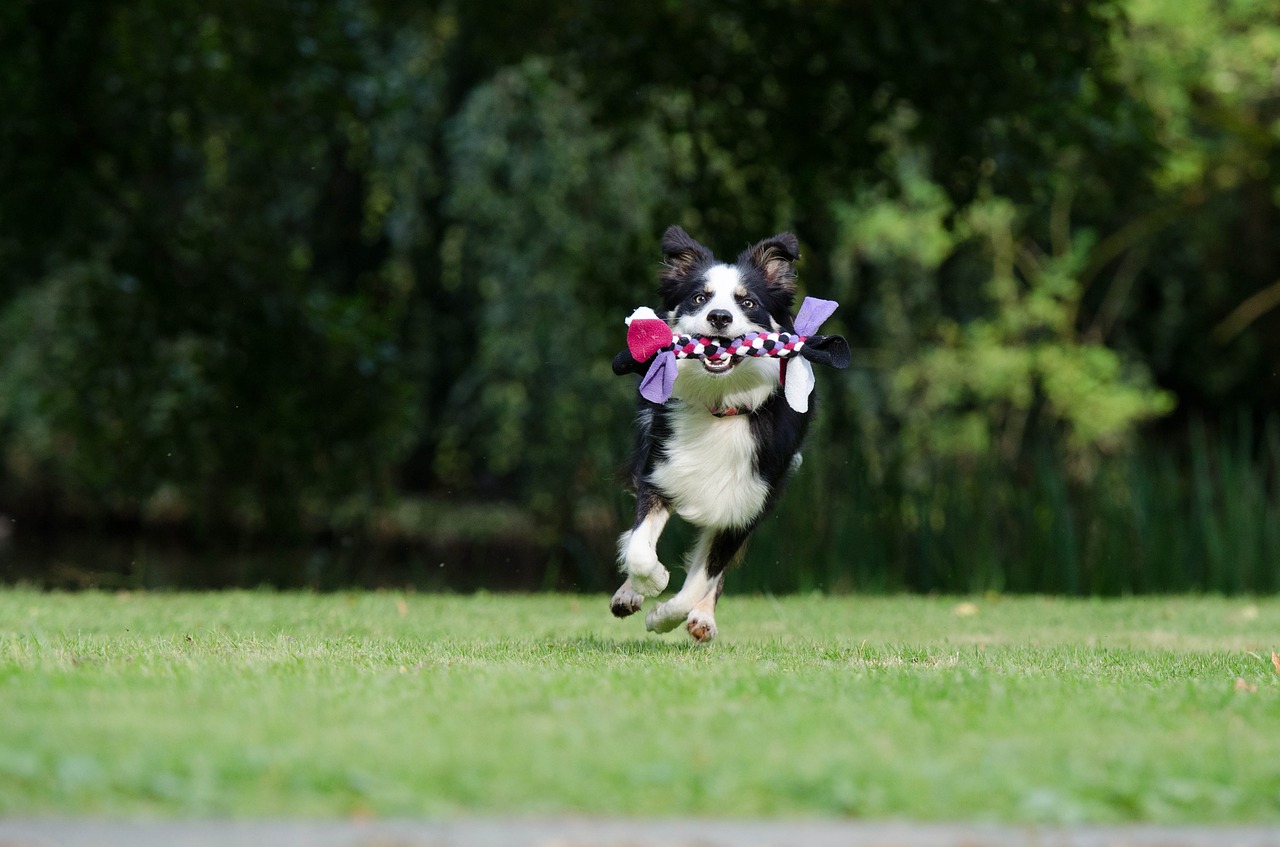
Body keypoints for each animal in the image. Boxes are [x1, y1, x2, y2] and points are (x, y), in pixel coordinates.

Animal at [614, 225, 814, 644]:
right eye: (700, 298)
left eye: (747, 302)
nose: (719, 317)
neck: (721, 403)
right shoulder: (660, 470)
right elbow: (639, 547)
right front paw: (652, 581)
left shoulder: (745, 504)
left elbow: (701, 579)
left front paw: (665, 616)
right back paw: (629, 593)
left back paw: (702, 618)